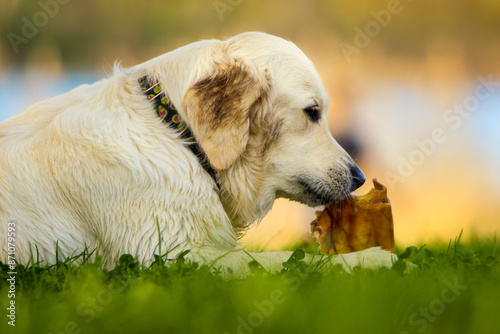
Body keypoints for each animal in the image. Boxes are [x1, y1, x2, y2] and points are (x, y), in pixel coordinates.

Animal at [0, 32, 396, 276]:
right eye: (312, 112)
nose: (360, 176)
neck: (178, 137)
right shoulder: (169, 258)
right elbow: (286, 259)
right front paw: (376, 260)